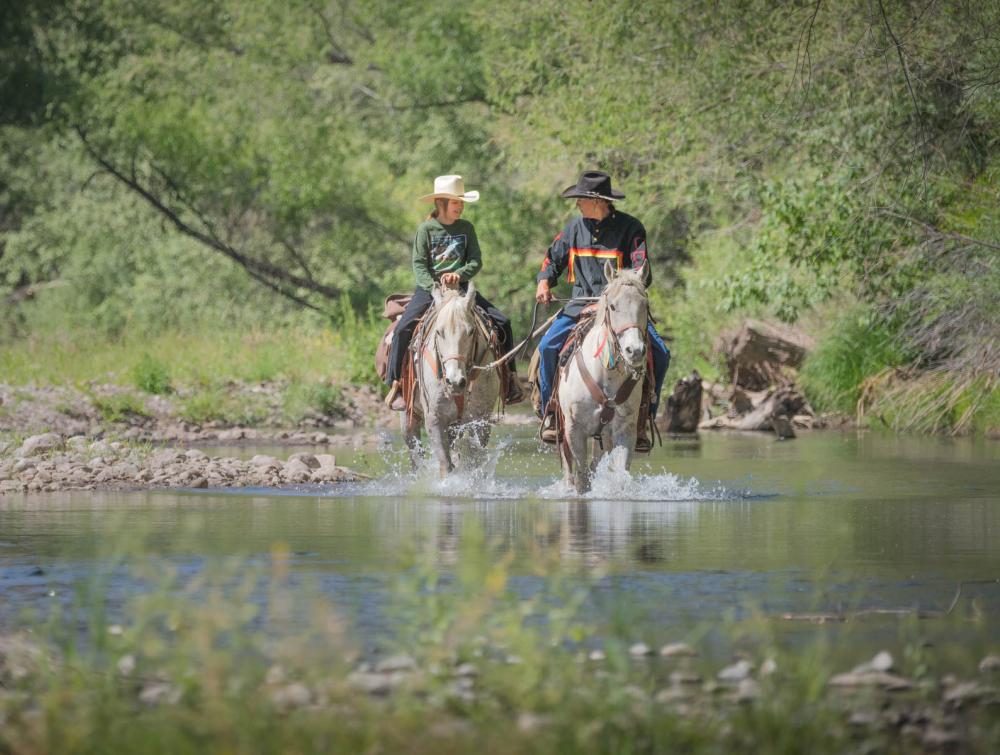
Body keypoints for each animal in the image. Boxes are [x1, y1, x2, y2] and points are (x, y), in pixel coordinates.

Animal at [404, 284, 500, 478]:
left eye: (471, 331)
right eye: (439, 332)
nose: (454, 381)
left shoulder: (481, 420)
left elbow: (474, 461)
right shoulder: (435, 419)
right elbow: (445, 465)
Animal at [556, 262, 648, 494]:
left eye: (645, 305)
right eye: (613, 306)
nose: (635, 351)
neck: (606, 375)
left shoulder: (625, 430)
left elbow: (620, 476)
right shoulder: (574, 430)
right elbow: (581, 480)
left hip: (603, 437)